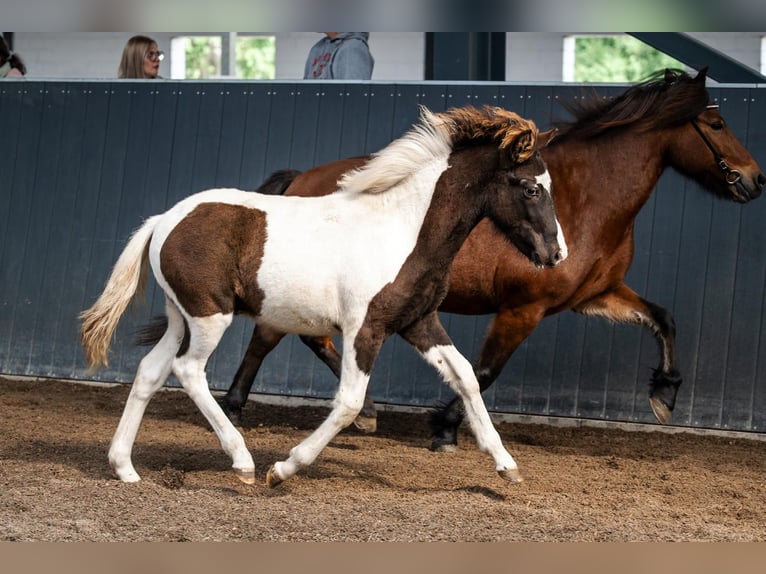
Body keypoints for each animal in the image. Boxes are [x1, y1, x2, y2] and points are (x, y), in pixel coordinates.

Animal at [80, 105, 566, 487]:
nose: (557, 253)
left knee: (150, 371)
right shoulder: (364, 328)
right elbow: (349, 402)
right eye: (530, 188)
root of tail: (163, 219)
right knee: (188, 370)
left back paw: (124, 467)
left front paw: (506, 465)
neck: (403, 230)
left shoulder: (419, 321)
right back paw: (242, 461)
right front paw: (284, 469)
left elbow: (465, 375)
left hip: (181, 317)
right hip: (209, 315)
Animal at [208, 67, 764, 449]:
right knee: (272, 338)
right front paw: (445, 427)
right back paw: (246, 408)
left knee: (292, 336)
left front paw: (665, 394)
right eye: (716, 123)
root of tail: (300, 179)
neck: (586, 201)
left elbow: (663, 319)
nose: (755, 179)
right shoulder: (523, 309)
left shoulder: (596, 296)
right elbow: (488, 370)